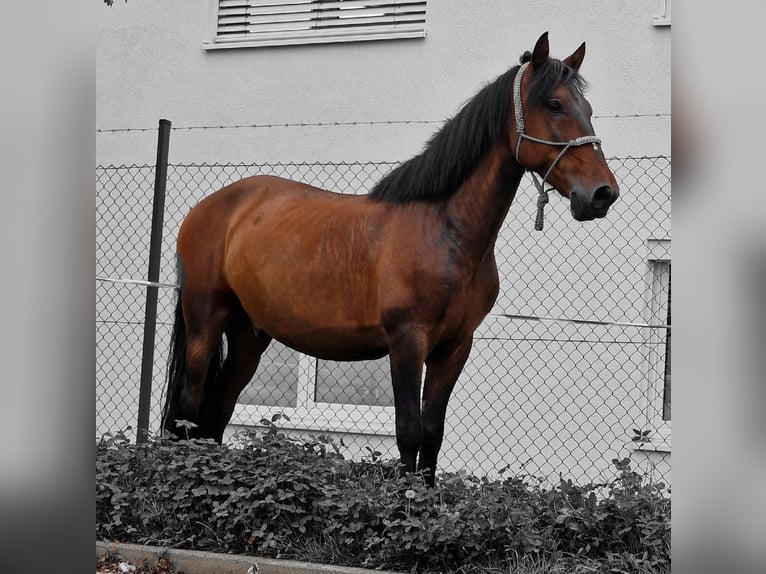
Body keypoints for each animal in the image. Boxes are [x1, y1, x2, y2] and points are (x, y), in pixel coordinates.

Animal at [161, 32, 619, 486]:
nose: (603, 194)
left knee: (218, 408)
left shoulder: (454, 347)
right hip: (206, 321)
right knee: (189, 405)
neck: (443, 229)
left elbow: (432, 433)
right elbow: (408, 432)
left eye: (588, 109)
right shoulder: (407, 341)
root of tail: (209, 208)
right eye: (555, 104)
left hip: (249, 333)